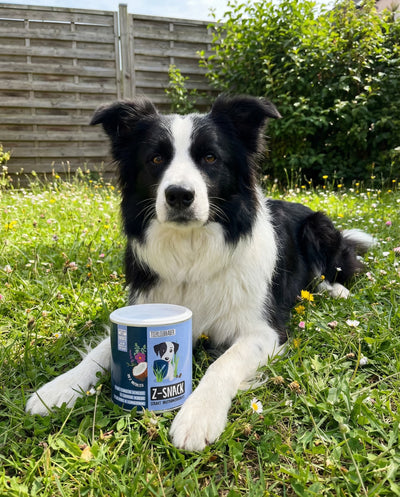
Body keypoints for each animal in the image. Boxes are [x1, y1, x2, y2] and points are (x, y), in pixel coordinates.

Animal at [26, 95, 374, 450]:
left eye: (210, 157)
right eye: (156, 158)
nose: (179, 195)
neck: (192, 252)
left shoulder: (264, 330)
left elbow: (222, 364)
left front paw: (198, 415)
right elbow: (100, 352)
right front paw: (58, 388)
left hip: (319, 226)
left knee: (332, 270)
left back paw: (337, 289)